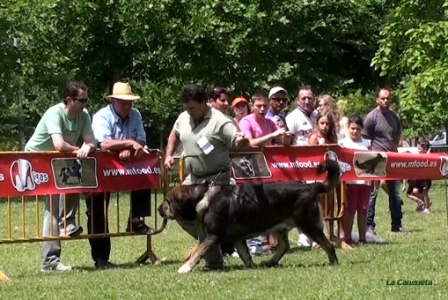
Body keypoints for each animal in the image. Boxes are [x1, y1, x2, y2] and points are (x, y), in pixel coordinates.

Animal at [159, 161, 342, 274]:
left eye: (168, 202)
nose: (159, 208)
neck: (202, 196)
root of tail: (311, 187)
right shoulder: (238, 237)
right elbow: (244, 254)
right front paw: (250, 266)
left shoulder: (213, 235)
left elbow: (199, 251)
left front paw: (185, 268)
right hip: (279, 226)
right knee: (284, 246)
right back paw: (270, 262)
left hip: (307, 223)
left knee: (327, 244)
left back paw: (333, 262)